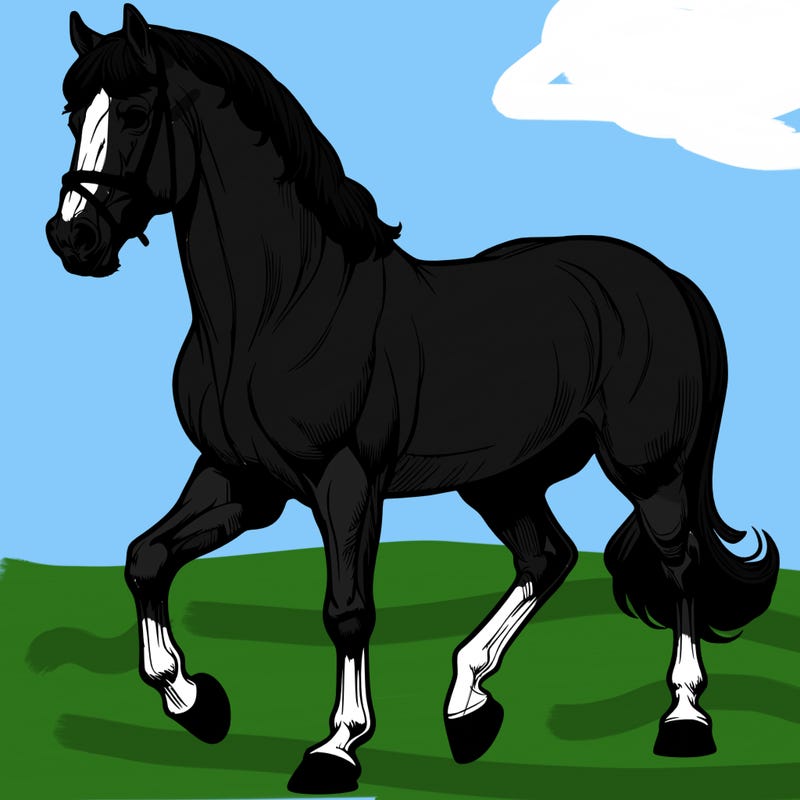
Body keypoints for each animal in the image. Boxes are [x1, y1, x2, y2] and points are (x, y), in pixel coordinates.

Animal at [46, 5, 779, 795]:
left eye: (136, 112)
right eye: (72, 112)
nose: (73, 237)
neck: (277, 310)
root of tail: (669, 281)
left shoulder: (345, 480)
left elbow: (347, 611)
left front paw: (336, 747)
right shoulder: (238, 478)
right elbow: (146, 557)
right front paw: (193, 700)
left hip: (649, 468)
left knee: (678, 565)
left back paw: (684, 718)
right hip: (503, 478)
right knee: (546, 556)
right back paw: (468, 704)